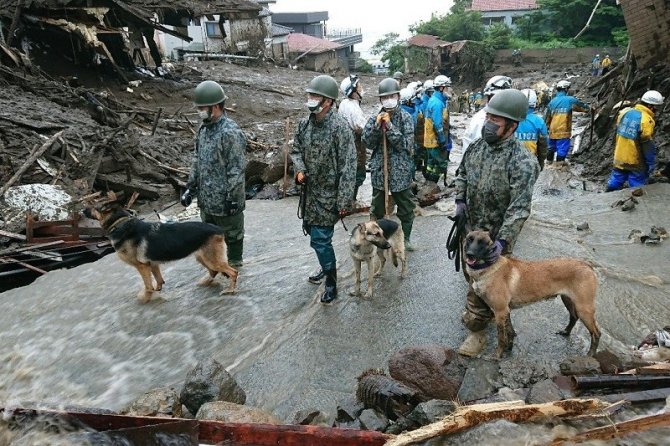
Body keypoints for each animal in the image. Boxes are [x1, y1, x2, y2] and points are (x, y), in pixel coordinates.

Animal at [85, 200, 239, 302]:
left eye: (94, 206)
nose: (82, 210)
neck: (119, 223)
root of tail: (218, 229)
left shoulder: (142, 266)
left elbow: (147, 285)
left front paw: (146, 297)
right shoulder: (152, 264)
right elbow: (158, 280)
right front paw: (157, 290)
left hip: (211, 259)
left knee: (233, 272)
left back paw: (230, 289)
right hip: (202, 257)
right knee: (214, 271)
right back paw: (206, 281)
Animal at [464, 230, 600, 358]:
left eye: (482, 242)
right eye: (469, 239)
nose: (469, 254)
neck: (488, 268)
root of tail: (587, 265)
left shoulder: (500, 311)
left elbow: (501, 337)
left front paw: (498, 355)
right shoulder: (506, 311)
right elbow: (510, 332)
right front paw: (509, 347)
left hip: (584, 308)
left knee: (596, 333)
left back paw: (591, 354)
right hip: (568, 300)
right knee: (573, 317)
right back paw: (566, 332)